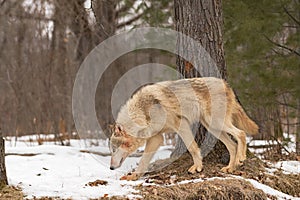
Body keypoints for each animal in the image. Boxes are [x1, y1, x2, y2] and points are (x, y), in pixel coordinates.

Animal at [109, 77, 258, 180]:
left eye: (114, 150)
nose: (110, 168)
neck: (143, 111)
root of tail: (225, 83)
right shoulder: (156, 138)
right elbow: (143, 161)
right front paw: (134, 177)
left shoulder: (181, 124)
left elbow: (192, 148)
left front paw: (197, 167)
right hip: (212, 127)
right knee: (232, 145)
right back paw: (230, 168)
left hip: (216, 123)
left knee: (241, 134)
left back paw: (241, 158)